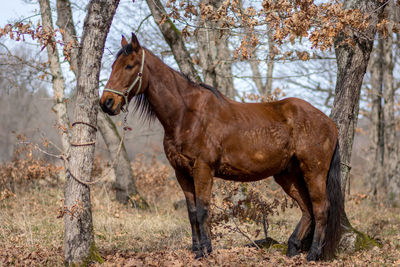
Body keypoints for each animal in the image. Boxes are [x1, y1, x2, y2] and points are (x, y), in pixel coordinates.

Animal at [100, 33, 344, 262]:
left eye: (129, 66)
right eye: (113, 66)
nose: (107, 103)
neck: (187, 114)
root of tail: (330, 122)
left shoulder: (203, 169)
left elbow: (202, 211)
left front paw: (205, 252)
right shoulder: (182, 173)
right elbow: (191, 213)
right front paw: (196, 250)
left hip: (313, 171)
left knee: (321, 208)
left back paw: (313, 254)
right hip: (287, 174)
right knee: (307, 209)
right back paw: (292, 249)